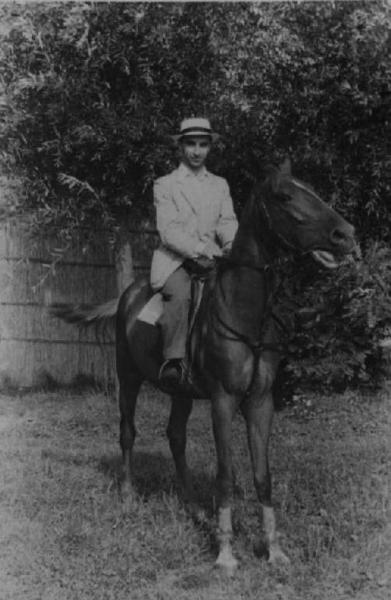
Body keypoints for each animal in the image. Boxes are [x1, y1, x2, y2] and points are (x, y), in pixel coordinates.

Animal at [51, 159, 358, 576]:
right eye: (285, 196)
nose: (345, 234)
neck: (244, 313)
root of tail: (128, 294)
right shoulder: (223, 401)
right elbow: (225, 474)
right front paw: (226, 552)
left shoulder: (260, 401)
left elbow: (263, 475)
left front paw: (274, 550)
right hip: (128, 377)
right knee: (127, 432)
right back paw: (129, 495)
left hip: (180, 391)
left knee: (175, 436)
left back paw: (194, 508)